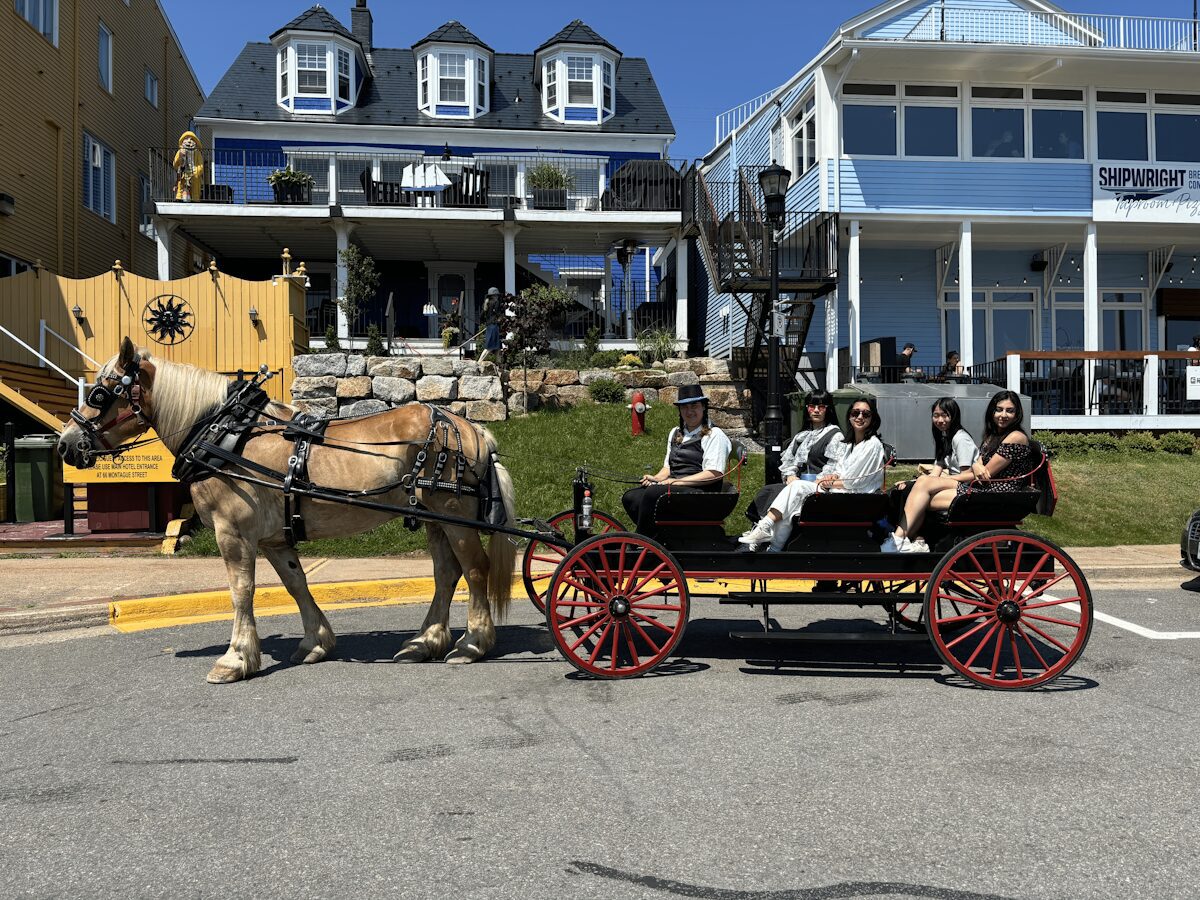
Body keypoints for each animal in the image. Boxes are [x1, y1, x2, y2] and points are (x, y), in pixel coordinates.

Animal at [57, 338, 516, 681]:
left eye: (99, 393)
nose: (65, 444)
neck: (225, 434)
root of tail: (473, 429)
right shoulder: (274, 539)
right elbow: (296, 585)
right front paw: (315, 643)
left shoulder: (232, 532)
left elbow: (241, 591)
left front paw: (236, 658)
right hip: (436, 520)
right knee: (446, 573)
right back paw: (424, 642)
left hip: (456, 515)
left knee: (475, 570)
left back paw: (472, 643)